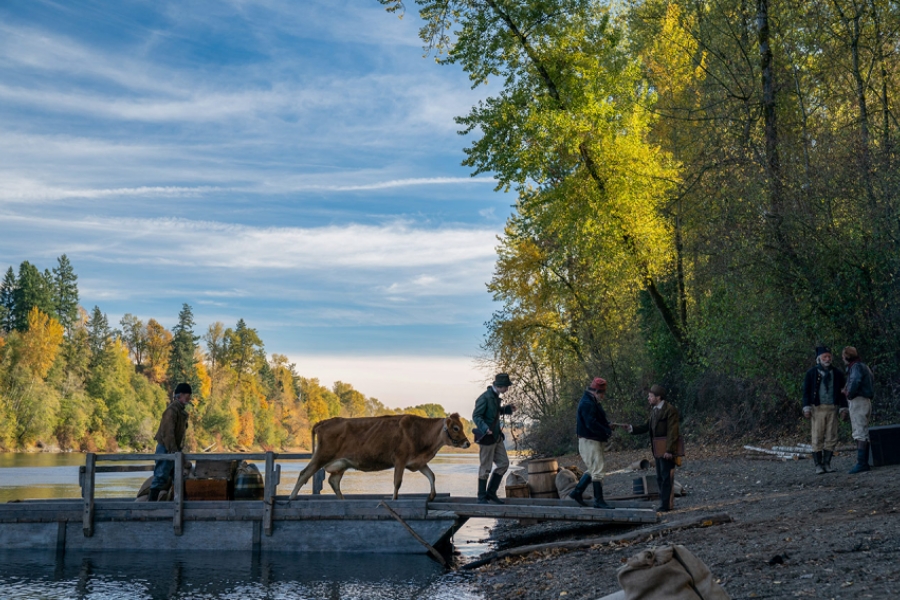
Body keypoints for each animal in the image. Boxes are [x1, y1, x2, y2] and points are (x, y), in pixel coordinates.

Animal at [289, 413, 471, 501]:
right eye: (455, 428)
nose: (468, 443)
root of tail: (324, 422)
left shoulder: (418, 462)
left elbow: (432, 476)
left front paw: (432, 496)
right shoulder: (400, 459)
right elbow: (397, 482)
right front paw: (394, 498)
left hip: (341, 464)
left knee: (333, 481)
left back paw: (342, 500)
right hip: (322, 455)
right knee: (304, 473)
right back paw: (292, 497)